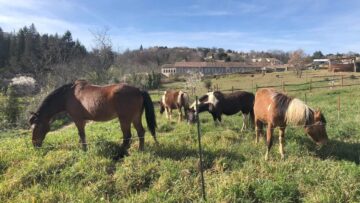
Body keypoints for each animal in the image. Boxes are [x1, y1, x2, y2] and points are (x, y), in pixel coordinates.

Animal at [28, 80, 158, 151]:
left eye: (36, 127)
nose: (34, 145)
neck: (68, 96)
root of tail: (139, 90)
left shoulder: (78, 119)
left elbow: (81, 135)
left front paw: (84, 149)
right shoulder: (83, 120)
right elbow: (82, 135)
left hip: (124, 119)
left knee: (127, 136)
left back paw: (120, 151)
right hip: (136, 117)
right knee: (141, 132)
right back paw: (140, 149)